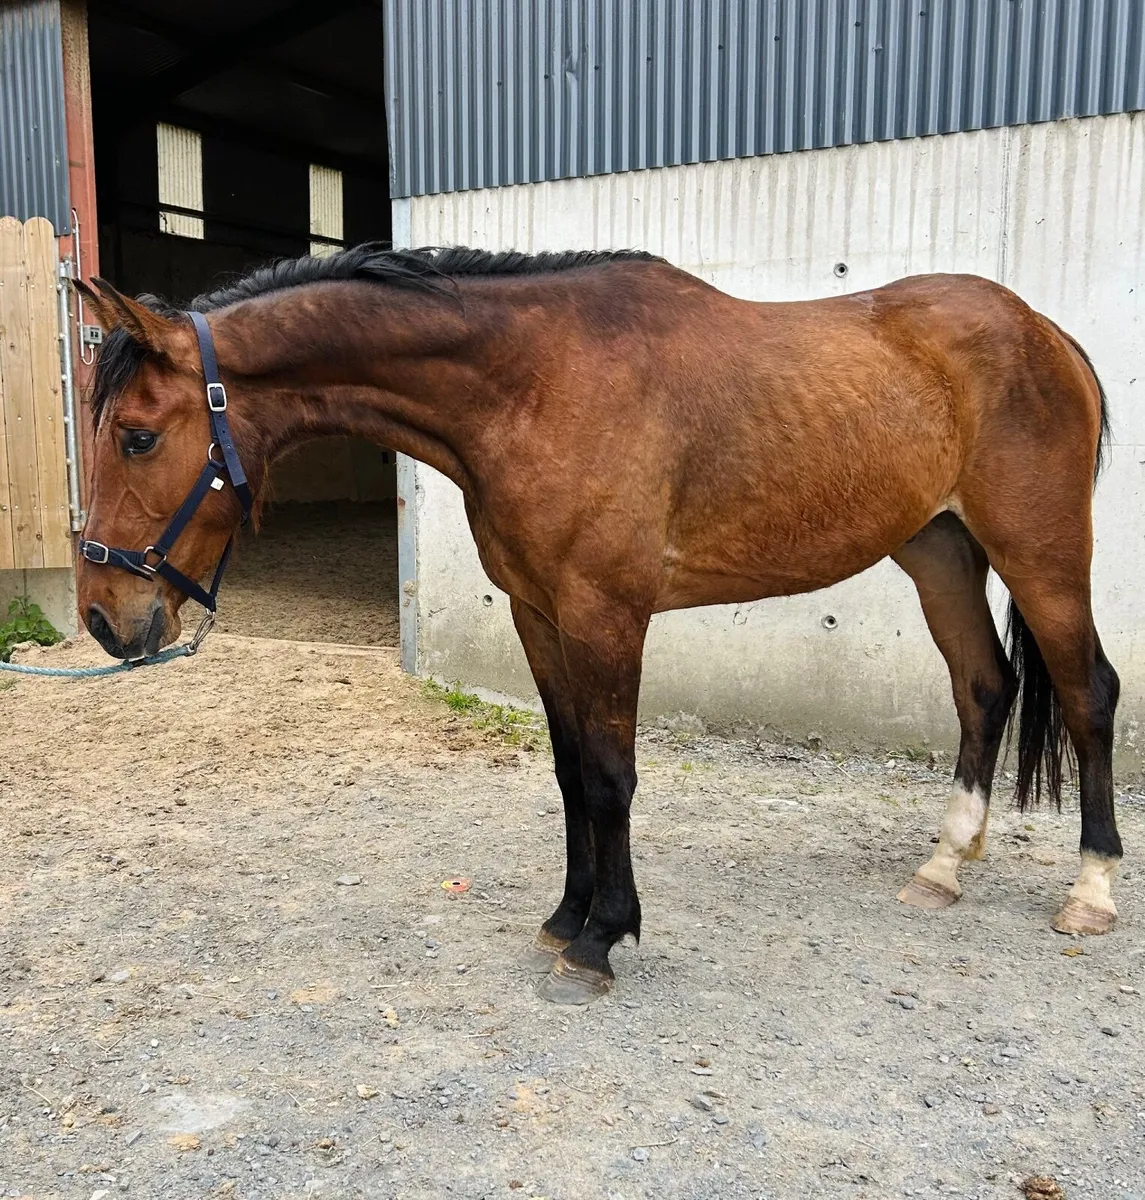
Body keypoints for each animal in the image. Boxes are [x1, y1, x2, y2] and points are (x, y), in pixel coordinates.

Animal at [74, 244, 1120, 1005]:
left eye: (136, 435)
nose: (101, 617)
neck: (533, 385)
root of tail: (1045, 332)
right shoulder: (539, 614)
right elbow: (571, 771)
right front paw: (567, 917)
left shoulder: (606, 614)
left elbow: (613, 775)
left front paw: (603, 937)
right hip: (937, 549)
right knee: (983, 685)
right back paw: (943, 864)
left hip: (1040, 552)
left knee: (1086, 693)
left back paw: (1090, 890)